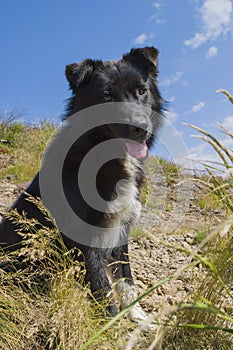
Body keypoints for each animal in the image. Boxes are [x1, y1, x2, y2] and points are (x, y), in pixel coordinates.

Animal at [0, 47, 163, 322]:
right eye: (106, 96)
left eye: (142, 91)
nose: (141, 129)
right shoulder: (82, 235)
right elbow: (100, 285)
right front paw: (110, 325)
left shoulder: (121, 228)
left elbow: (126, 277)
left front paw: (137, 317)